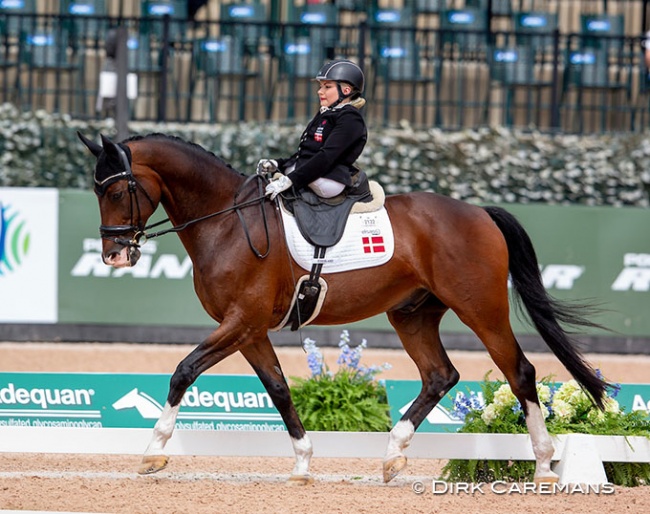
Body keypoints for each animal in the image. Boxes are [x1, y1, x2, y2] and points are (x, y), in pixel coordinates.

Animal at [77, 130, 608, 482]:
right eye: (96, 189)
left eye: (117, 189)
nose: (114, 255)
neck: (226, 222)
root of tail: (479, 212)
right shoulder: (249, 329)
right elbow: (278, 389)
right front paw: (303, 461)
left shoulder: (240, 322)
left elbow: (183, 371)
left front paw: (153, 450)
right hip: (412, 314)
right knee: (441, 375)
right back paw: (393, 455)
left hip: (481, 308)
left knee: (519, 371)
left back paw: (543, 463)